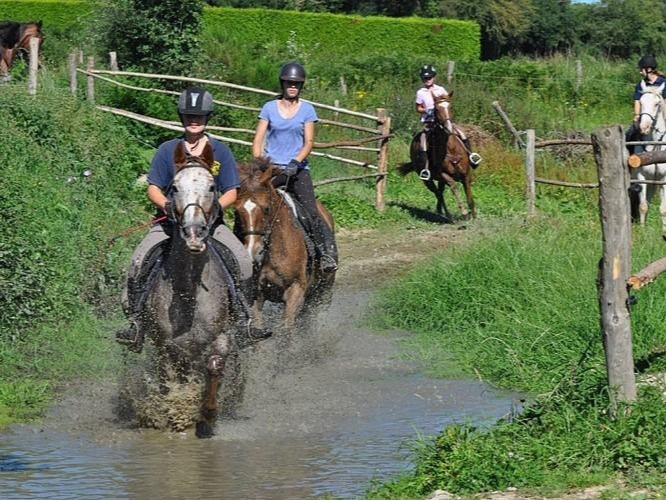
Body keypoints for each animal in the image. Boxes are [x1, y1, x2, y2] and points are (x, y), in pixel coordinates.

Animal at [235, 158, 338, 332]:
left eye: (266, 208)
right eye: (236, 211)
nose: (253, 252)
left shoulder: (295, 290)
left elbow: (286, 331)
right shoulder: (256, 294)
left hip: (324, 291)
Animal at [396, 92, 474, 221]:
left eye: (450, 107)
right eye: (436, 109)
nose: (448, 128)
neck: (450, 149)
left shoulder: (466, 174)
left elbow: (469, 194)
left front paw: (474, 214)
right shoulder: (444, 175)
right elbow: (453, 187)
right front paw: (463, 212)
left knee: (440, 192)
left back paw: (441, 211)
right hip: (427, 180)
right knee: (438, 193)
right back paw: (446, 214)